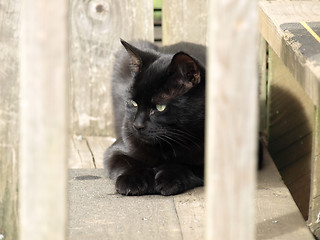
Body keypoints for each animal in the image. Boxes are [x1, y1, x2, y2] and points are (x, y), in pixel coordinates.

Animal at [104, 39, 206, 196]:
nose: (137, 125)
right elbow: (127, 162)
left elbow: (185, 166)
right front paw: (133, 180)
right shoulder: (114, 151)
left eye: (160, 107)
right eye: (133, 103)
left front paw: (168, 178)